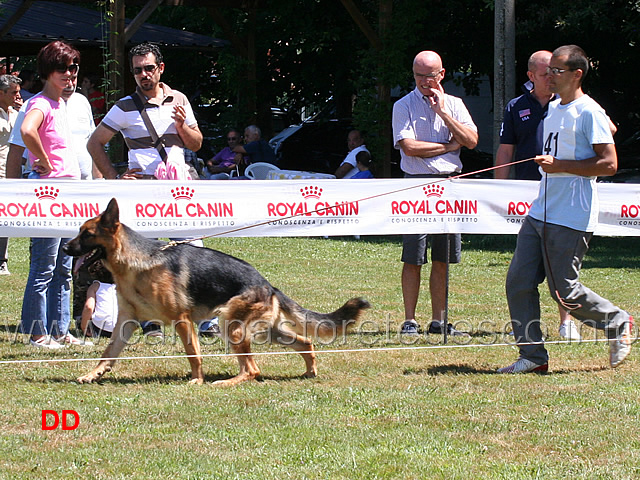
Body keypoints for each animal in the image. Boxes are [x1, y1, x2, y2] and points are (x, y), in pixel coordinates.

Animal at [65, 199, 370, 386]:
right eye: (79, 231)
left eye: (87, 234)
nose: (66, 248)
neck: (136, 262)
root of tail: (268, 284)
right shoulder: (125, 323)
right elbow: (108, 352)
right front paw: (93, 374)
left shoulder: (182, 320)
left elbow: (193, 353)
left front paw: (197, 380)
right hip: (266, 331)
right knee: (305, 343)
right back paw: (309, 371)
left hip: (230, 324)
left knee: (252, 370)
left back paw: (226, 382)